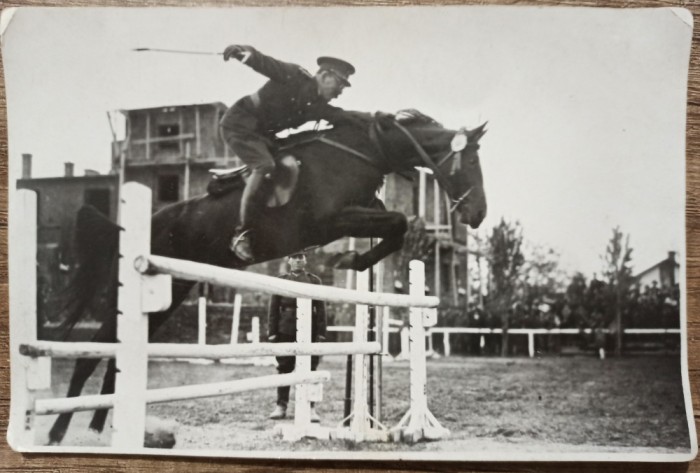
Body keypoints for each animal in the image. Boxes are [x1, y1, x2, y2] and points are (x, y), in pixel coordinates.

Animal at [47, 109, 486, 444]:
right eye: (472, 164)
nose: (478, 214)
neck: (365, 151)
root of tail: (134, 225)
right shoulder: (332, 220)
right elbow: (397, 221)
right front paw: (348, 259)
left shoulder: (354, 215)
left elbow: (395, 225)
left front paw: (355, 261)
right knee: (93, 351)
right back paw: (59, 430)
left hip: (169, 294)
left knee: (116, 354)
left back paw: (102, 427)